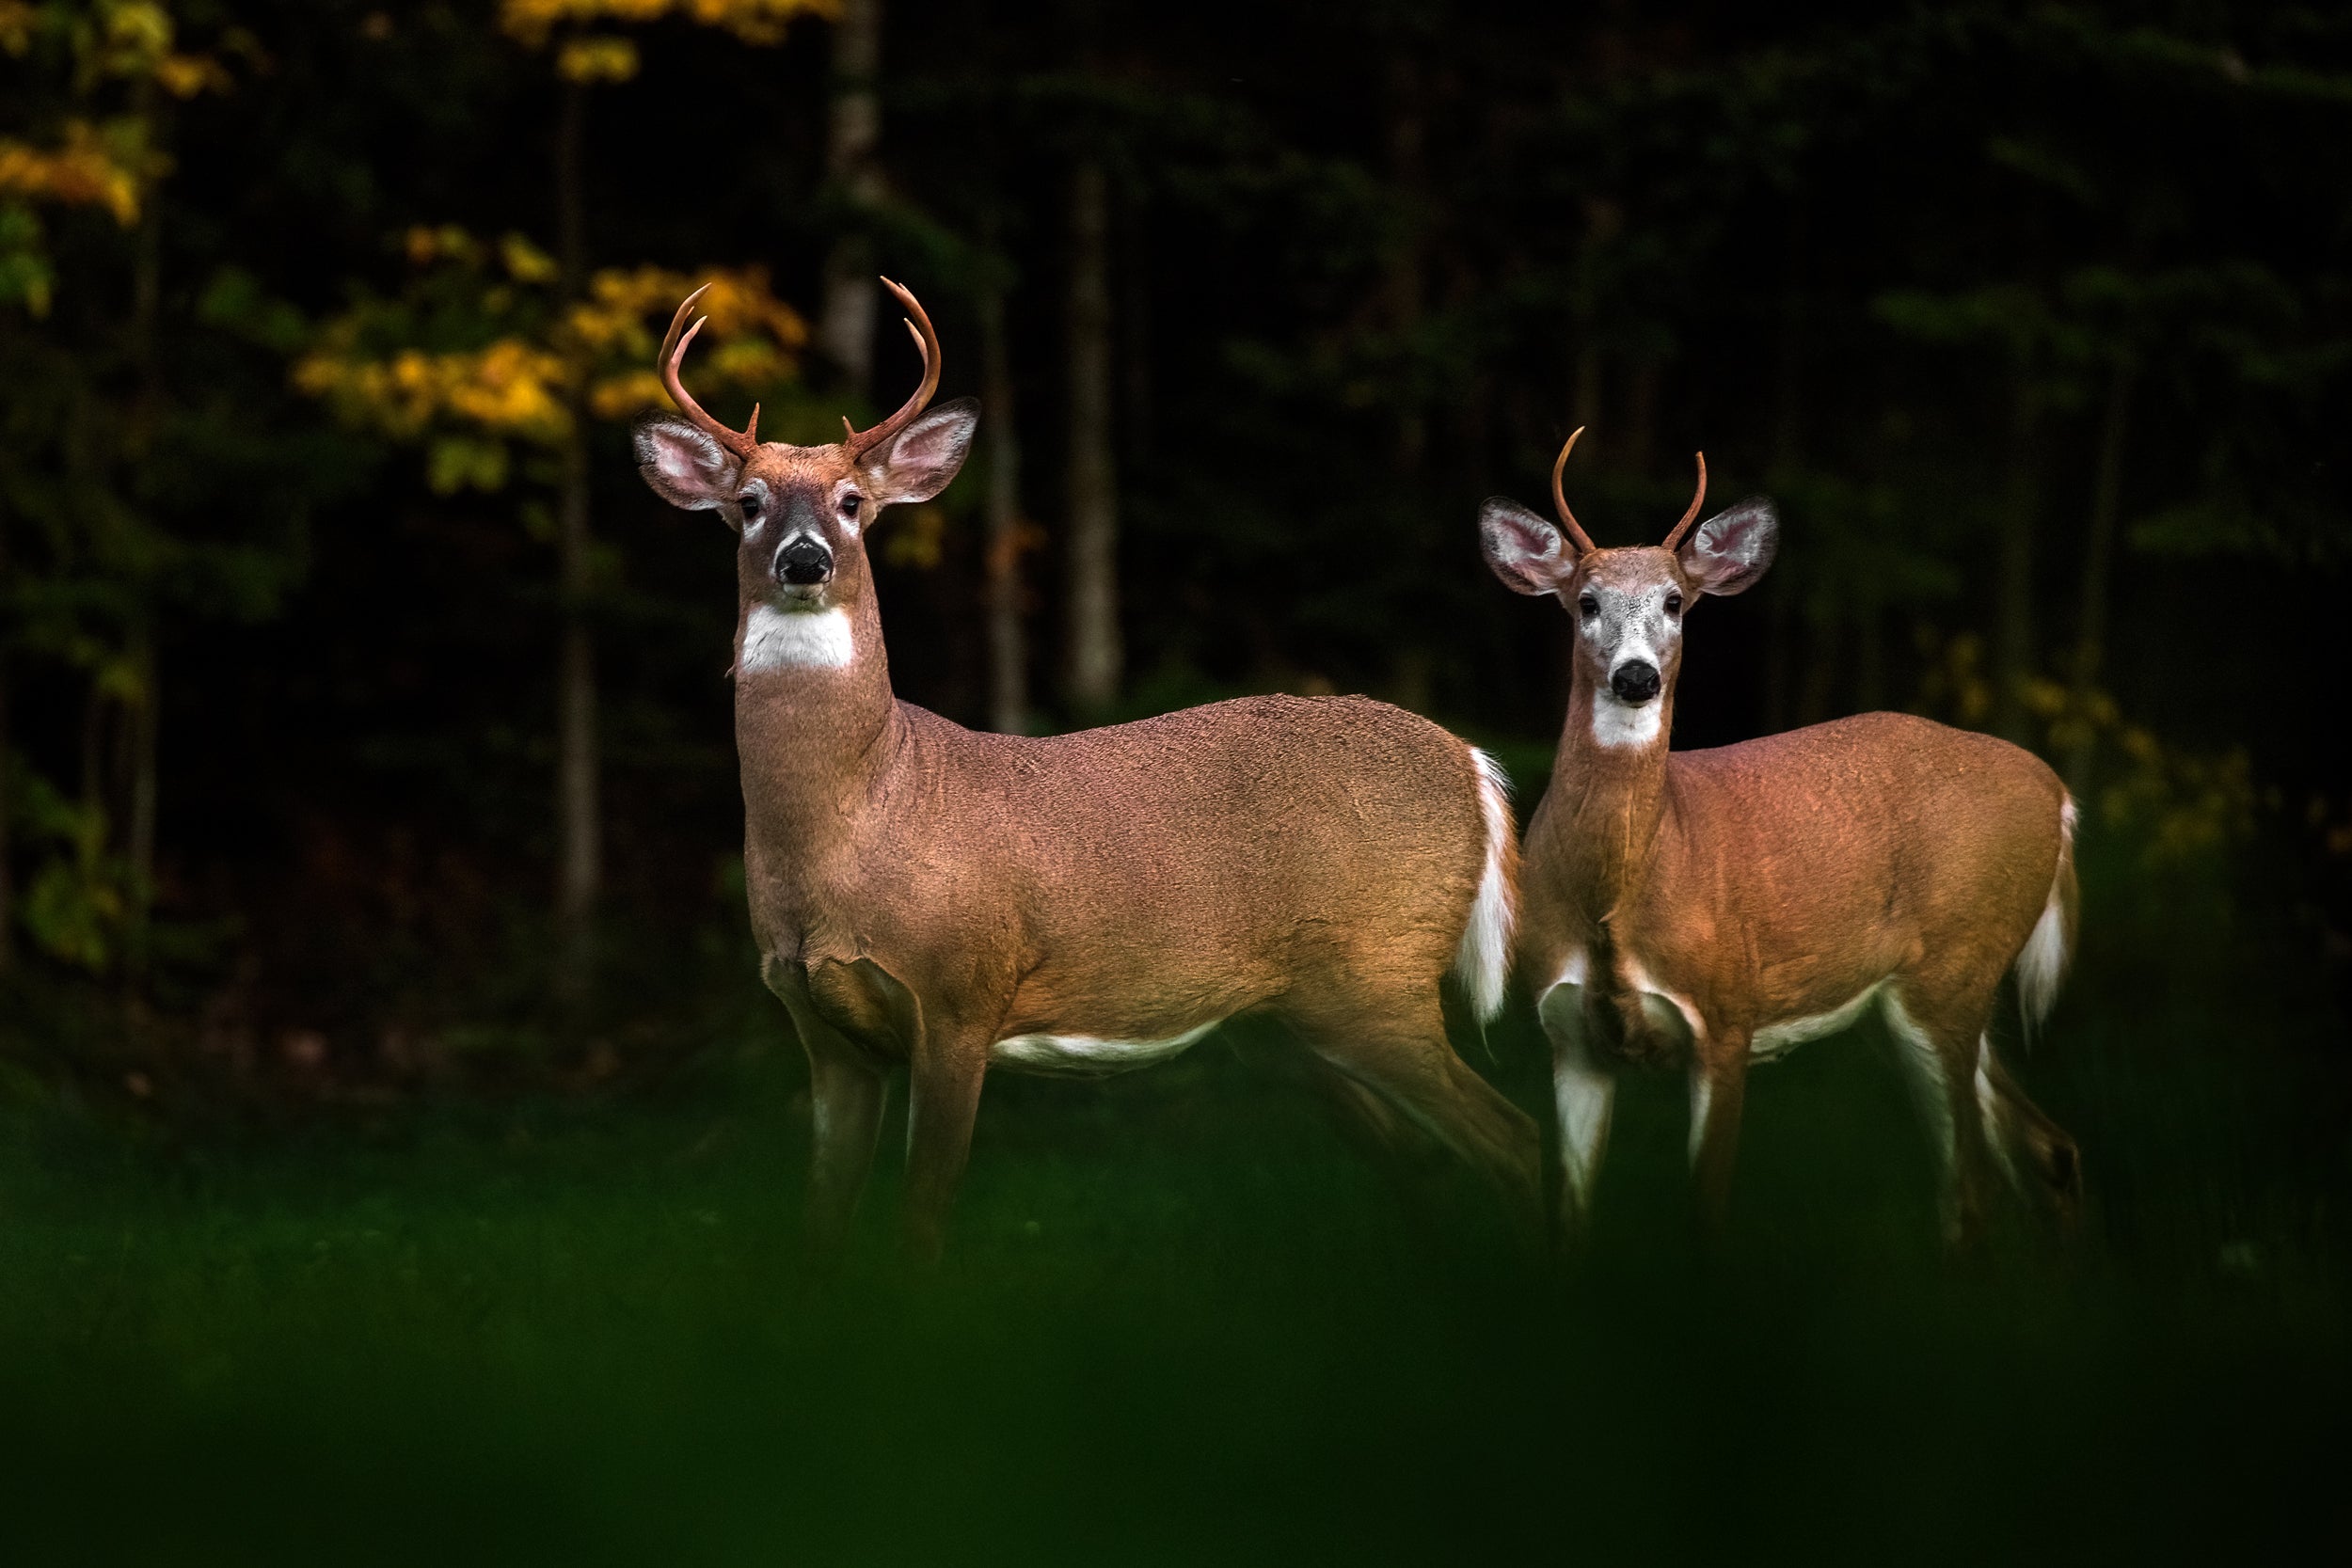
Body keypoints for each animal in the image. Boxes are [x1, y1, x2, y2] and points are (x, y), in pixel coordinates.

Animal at [632, 277, 1539, 1261]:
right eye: (750, 501)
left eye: (850, 502)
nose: (806, 559)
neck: (859, 815)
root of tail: (1474, 765)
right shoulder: (821, 1030)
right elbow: (819, 1224)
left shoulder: (961, 995)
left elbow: (922, 1216)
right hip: (1298, 1021)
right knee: (1425, 1162)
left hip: (1379, 974)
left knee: (1513, 1136)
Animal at [1476, 430, 2083, 1249]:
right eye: (1587, 602)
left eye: (1675, 601)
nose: (1635, 677)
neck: (1622, 891)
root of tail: (2059, 795)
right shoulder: (1570, 1038)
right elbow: (1569, 1219)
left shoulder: (1727, 1016)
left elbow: (1706, 1214)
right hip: (1919, 996)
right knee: (2046, 1146)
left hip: (1956, 965)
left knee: (1972, 1186)